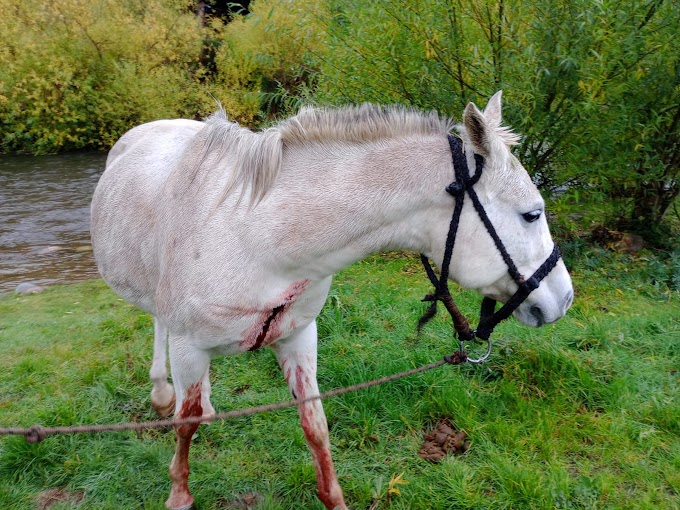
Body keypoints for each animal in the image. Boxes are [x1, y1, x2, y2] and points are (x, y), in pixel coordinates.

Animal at [91, 92, 572, 510]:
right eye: (532, 214)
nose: (564, 299)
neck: (256, 238)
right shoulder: (189, 345)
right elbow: (185, 424)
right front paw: (179, 494)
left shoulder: (299, 337)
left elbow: (315, 425)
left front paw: (334, 497)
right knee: (159, 326)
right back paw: (161, 391)